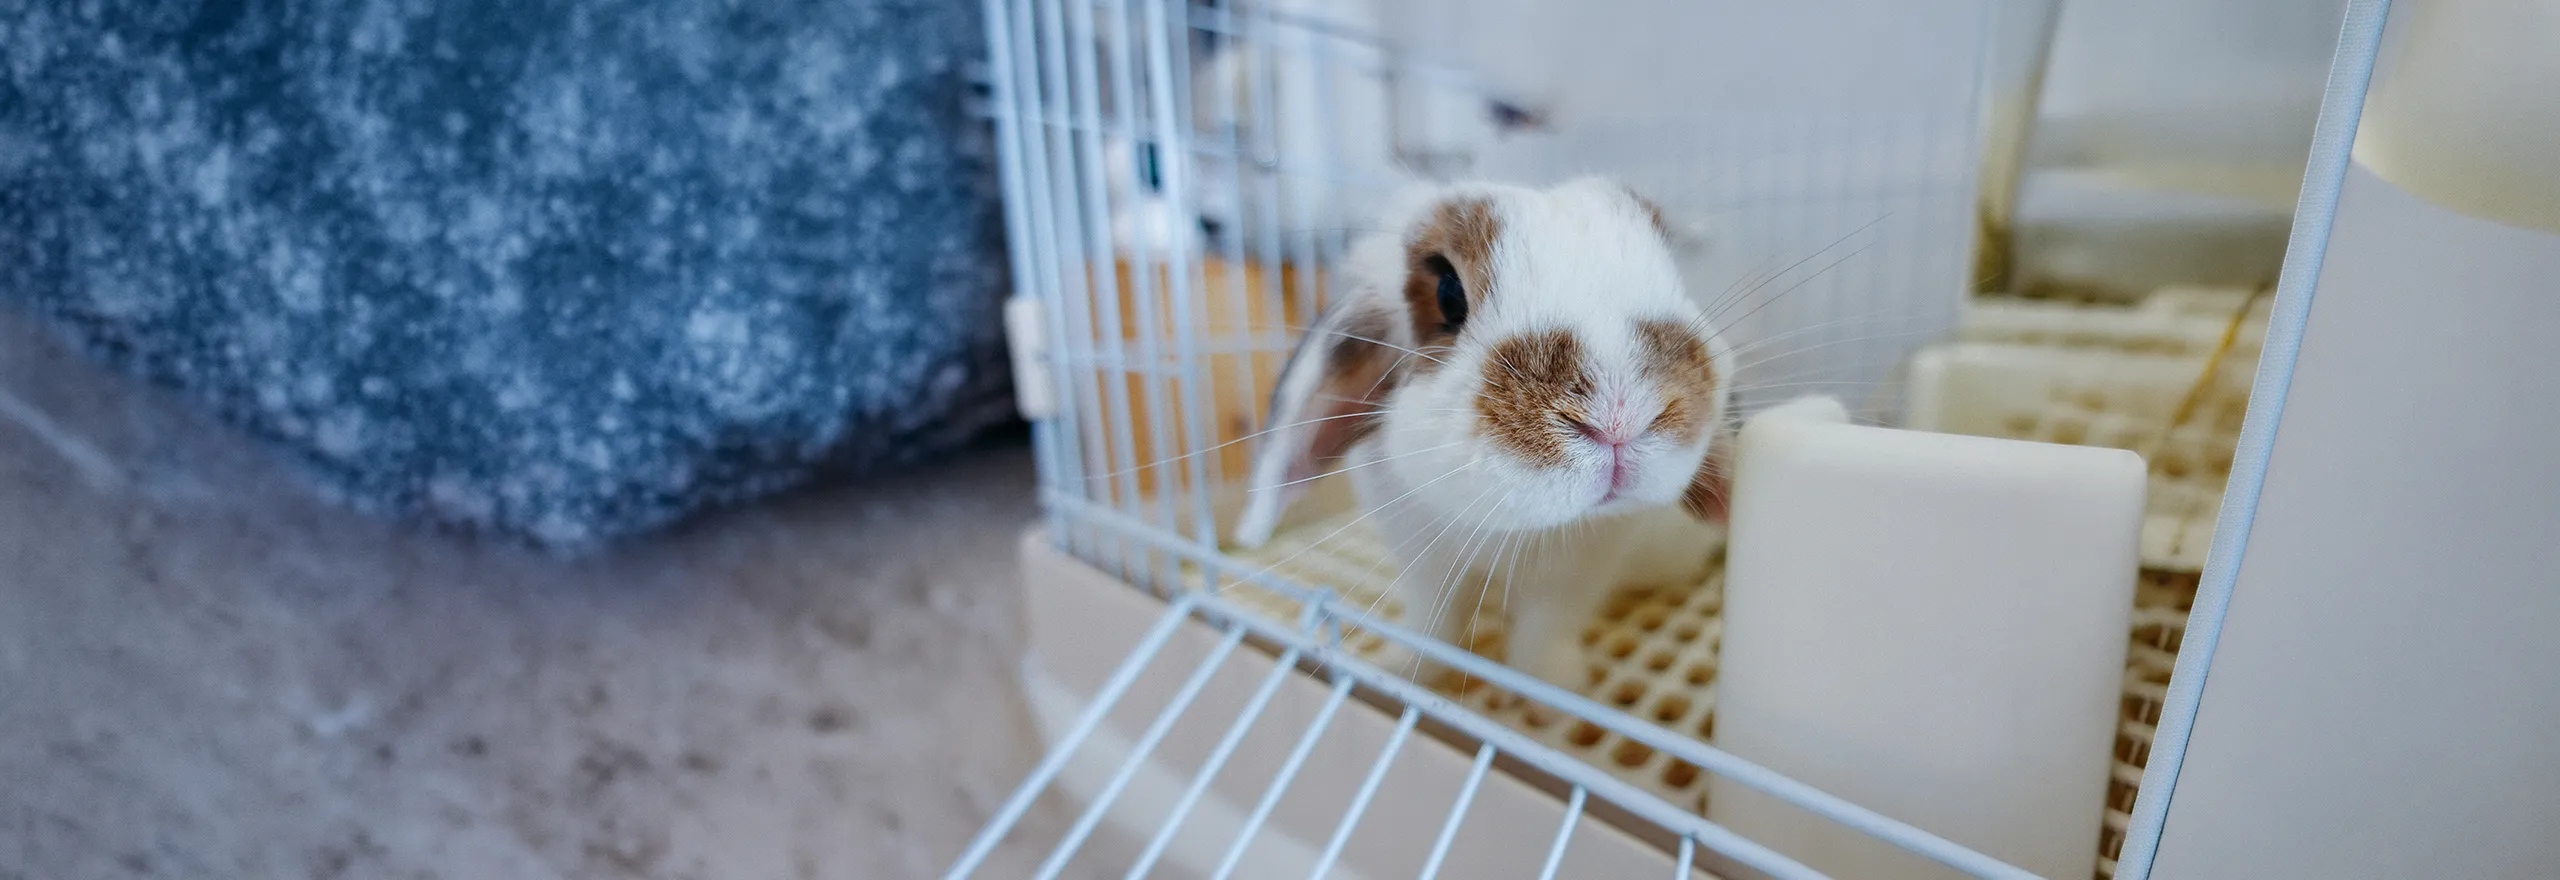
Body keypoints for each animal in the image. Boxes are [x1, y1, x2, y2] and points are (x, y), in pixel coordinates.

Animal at [1231, 176, 1754, 690]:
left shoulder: (1571, 578)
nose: (1620, 419)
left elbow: (1540, 638)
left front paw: (1558, 689)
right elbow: (1433, 627)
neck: (1507, 530)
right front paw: (1402, 669)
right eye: (1448, 293)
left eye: (1672, 273)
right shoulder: (1422, 563)